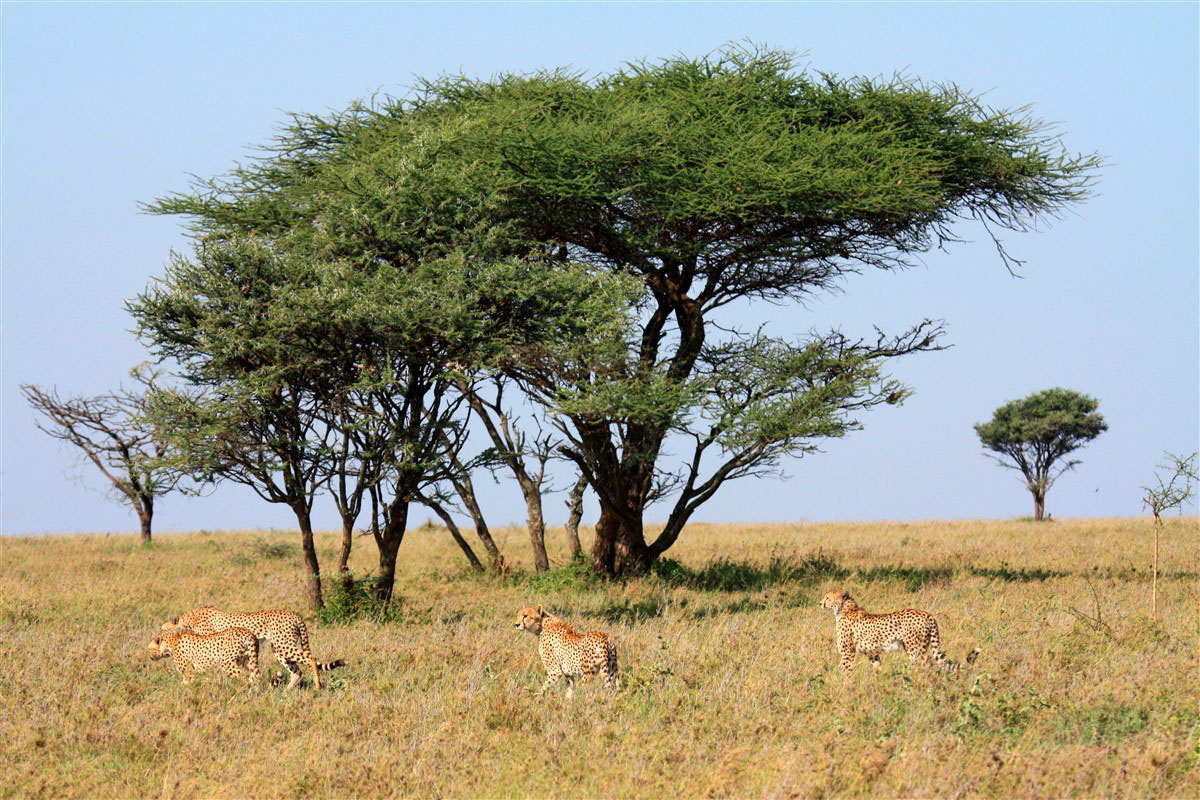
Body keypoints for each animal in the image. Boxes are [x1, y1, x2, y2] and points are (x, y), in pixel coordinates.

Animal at [162, 606, 345, 690]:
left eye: (163, 631)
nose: (159, 638)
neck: (188, 620)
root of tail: (295, 614)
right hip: (278, 648)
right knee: (297, 671)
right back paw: (286, 690)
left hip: (284, 645)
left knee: (311, 659)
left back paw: (317, 685)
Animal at [820, 587, 979, 676]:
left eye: (827, 597)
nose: (820, 603)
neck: (844, 609)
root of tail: (928, 614)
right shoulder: (872, 653)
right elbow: (878, 668)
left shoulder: (847, 652)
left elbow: (846, 672)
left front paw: (845, 689)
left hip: (914, 649)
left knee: (926, 665)